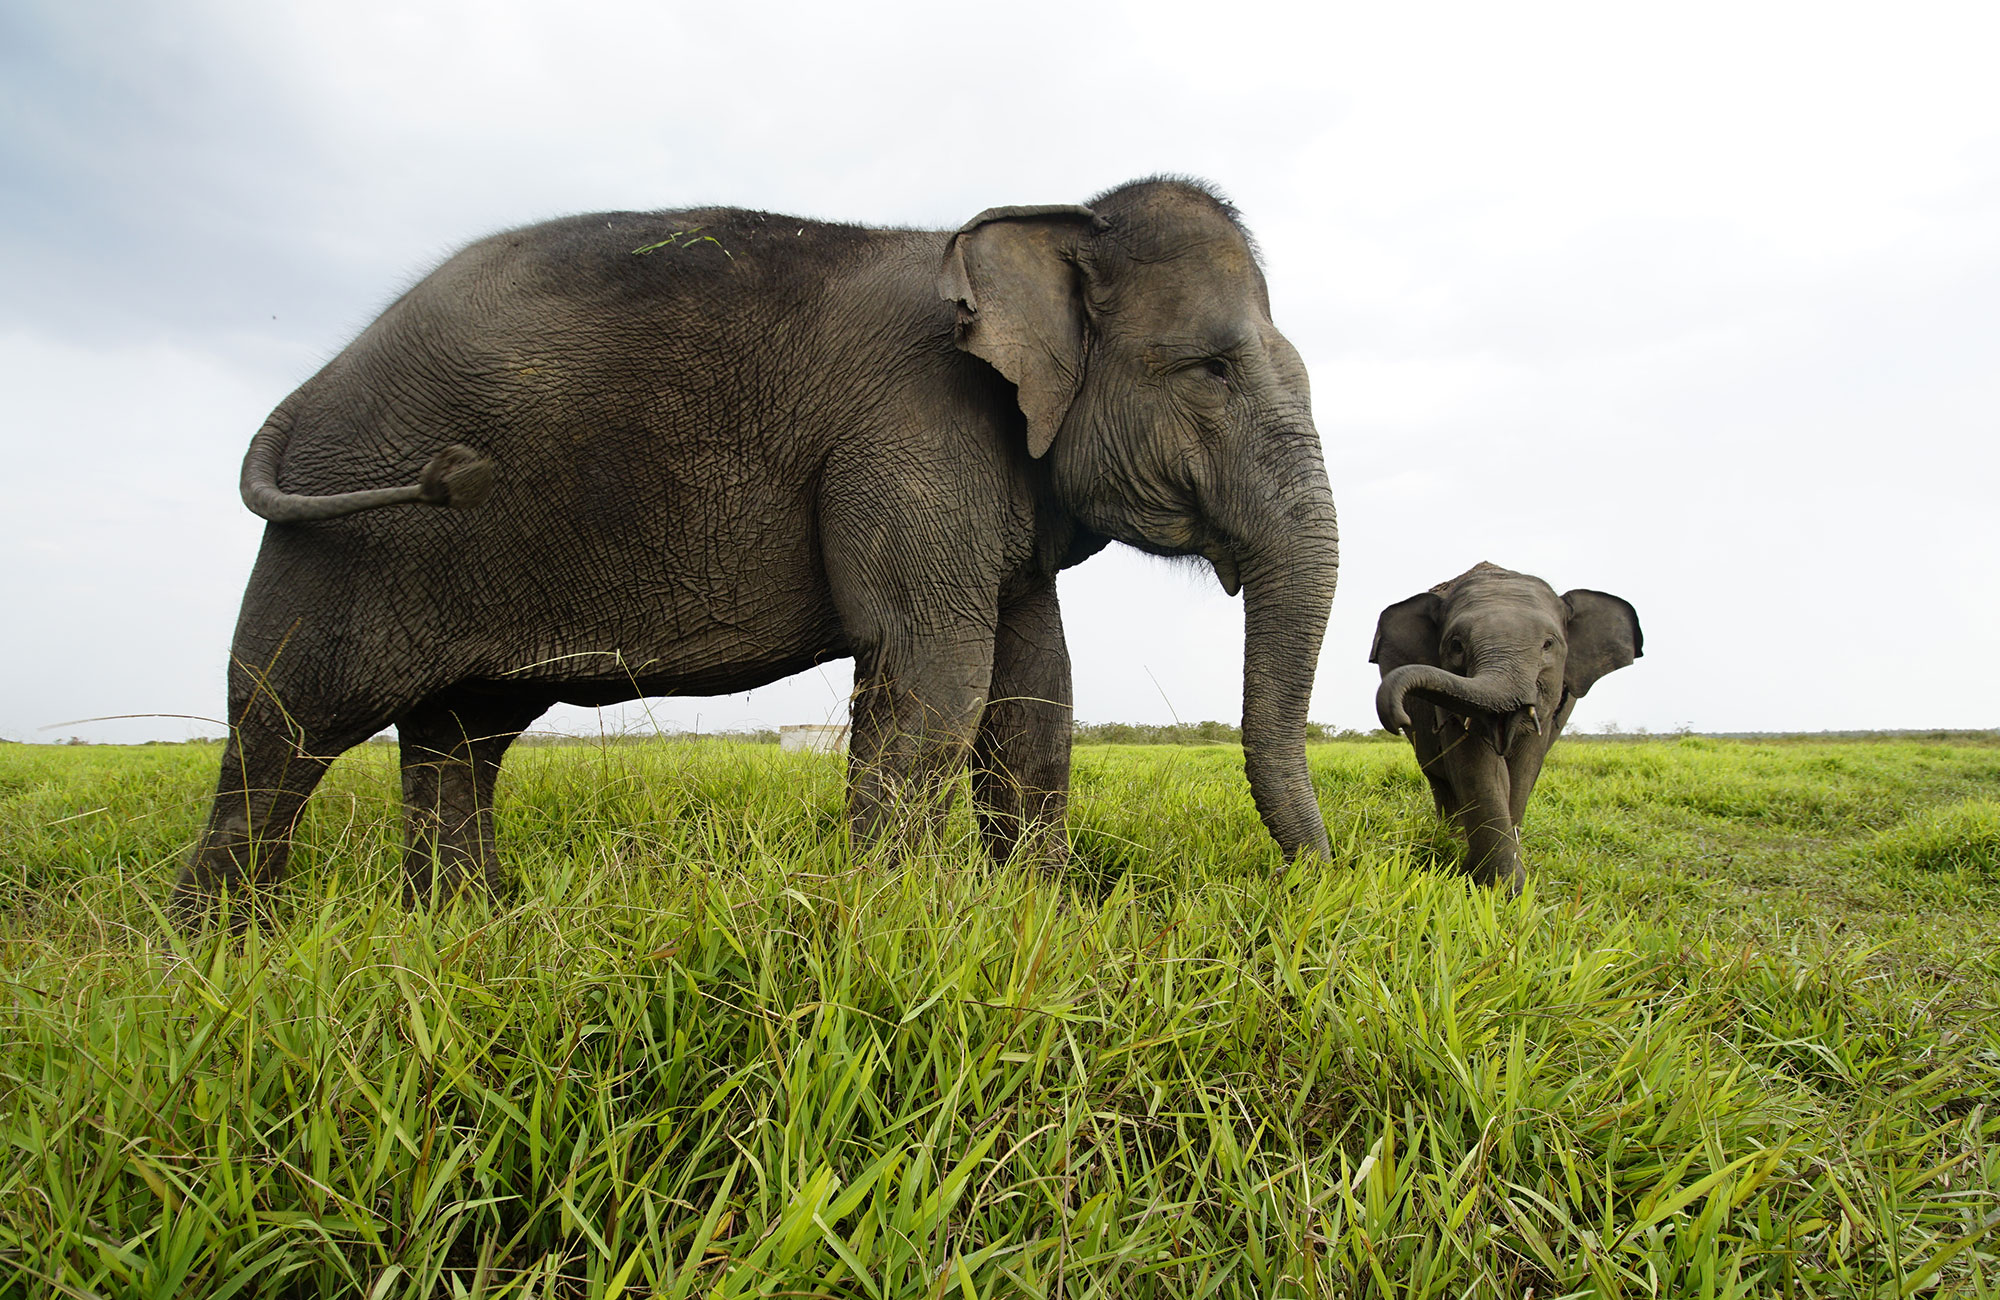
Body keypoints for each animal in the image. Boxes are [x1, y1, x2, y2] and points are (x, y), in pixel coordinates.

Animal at [180, 177, 1336, 920]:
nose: (1314, 886)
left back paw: (463, 930)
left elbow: (1034, 702)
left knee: (461, 736)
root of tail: (310, 384)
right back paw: (224, 954)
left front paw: (1041, 927)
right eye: (1210, 369)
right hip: (343, 540)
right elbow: (937, 679)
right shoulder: (913, 434)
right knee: (286, 721)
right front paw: (894, 929)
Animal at [1376, 556, 1640, 892]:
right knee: (1437, 776)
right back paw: (1449, 837)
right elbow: (1476, 762)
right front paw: (1497, 886)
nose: (1398, 718)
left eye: (1548, 644)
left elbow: (1525, 765)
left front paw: (1506, 884)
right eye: (1456, 645)